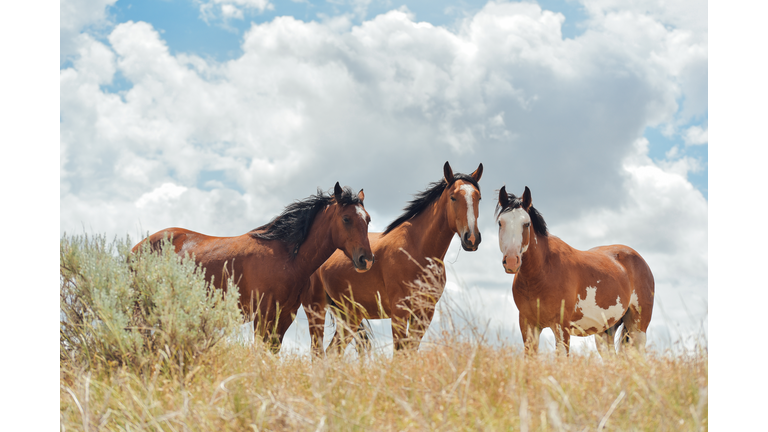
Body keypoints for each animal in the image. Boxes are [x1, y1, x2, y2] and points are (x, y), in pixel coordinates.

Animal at [132, 182, 374, 352]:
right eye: (346, 219)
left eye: (368, 219)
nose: (366, 259)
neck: (286, 257)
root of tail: (136, 248)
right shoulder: (262, 316)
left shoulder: (284, 317)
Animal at [301, 162, 483, 356]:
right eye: (453, 197)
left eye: (478, 198)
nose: (472, 238)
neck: (416, 250)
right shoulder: (399, 311)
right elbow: (399, 353)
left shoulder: (424, 312)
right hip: (316, 310)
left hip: (349, 316)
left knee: (333, 351)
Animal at [495, 186, 654, 356]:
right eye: (500, 223)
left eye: (526, 224)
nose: (512, 261)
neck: (542, 272)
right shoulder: (528, 325)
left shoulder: (561, 326)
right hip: (605, 332)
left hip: (637, 328)